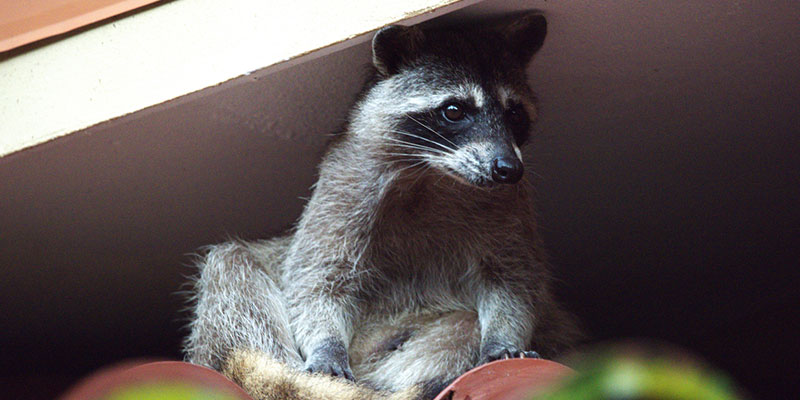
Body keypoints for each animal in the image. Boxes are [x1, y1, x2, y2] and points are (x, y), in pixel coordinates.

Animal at [184, 13, 581, 400]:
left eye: (514, 114)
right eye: (454, 110)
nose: (508, 168)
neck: (432, 173)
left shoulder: (509, 203)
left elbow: (515, 277)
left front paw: (503, 336)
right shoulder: (342, 183)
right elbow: (316, 277)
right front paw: (325, 345)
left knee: (465, 326)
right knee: (233, 268)